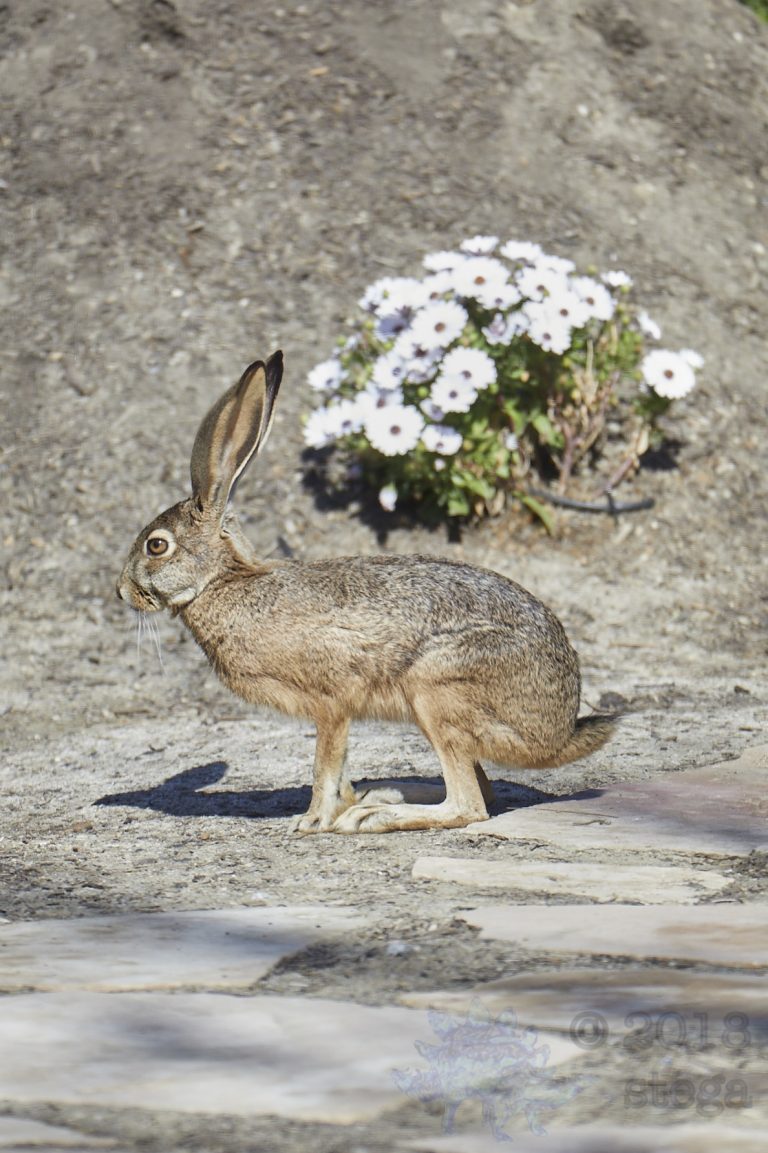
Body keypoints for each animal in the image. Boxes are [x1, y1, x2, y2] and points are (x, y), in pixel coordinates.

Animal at [117, 351, 616, 833]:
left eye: (156, 545)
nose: (122, 591)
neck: (222, 582)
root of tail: (559, 732)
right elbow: (339, 769)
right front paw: (341, 803)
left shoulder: (332, 702)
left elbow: (325, 764)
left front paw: (312, 821)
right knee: (481, 791)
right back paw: (382, 794)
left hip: (436, 689)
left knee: (470, 805)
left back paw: (372, 816)